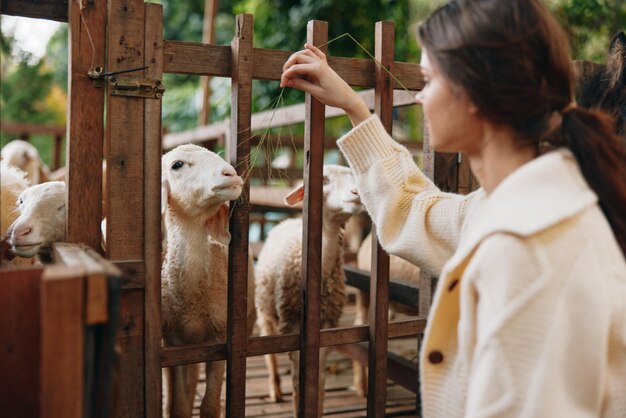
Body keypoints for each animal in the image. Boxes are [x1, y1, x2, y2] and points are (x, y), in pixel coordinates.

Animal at [160, 144, 255, 418]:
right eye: (177, 165)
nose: (231, 174)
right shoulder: (172, 342)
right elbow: (179, 407)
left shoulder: (220, 336)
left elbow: (210, 406)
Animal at [252, 165, 360, 416]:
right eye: (325, 179)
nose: (357, 193)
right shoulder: (293, 329)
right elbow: (298, 382)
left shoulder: (327, 328)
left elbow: (318, 382)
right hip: (265, 310)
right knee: (268, 351)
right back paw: (275, 390)